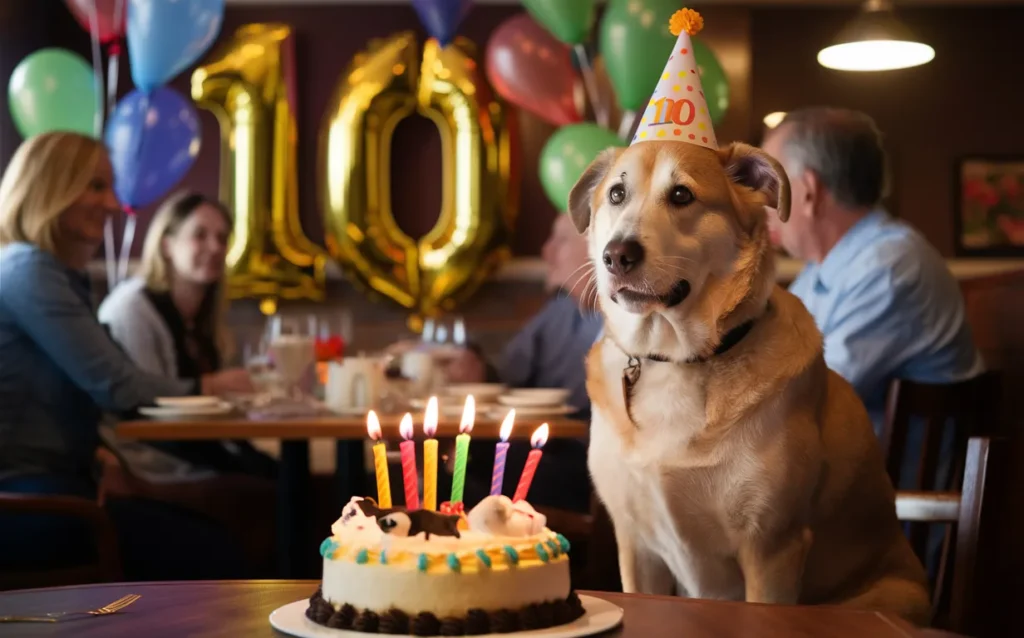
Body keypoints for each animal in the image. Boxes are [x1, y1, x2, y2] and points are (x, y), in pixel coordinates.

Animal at [573, 138, 933, 622]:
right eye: (616, 194)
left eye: (682, 195)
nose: (617, 255)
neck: (676, 360)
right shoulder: (636, 545)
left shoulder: (771, 548)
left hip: (891, 596)